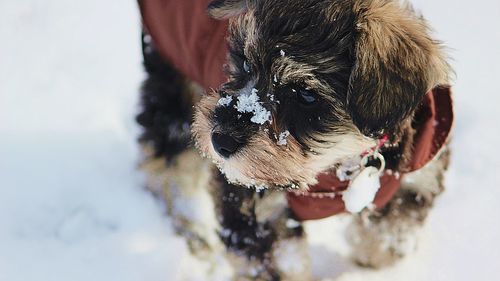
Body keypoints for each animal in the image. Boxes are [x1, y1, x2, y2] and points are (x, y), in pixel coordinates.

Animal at [136, 0, 454, 278]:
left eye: (306, 94)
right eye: (246, 63)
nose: (220, 141)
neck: (338, 167)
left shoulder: (415, 180)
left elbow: (389, 236)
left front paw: (368, 260)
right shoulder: (254, 207)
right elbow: (279, 266)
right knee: (168, 166)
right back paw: (193, 235)